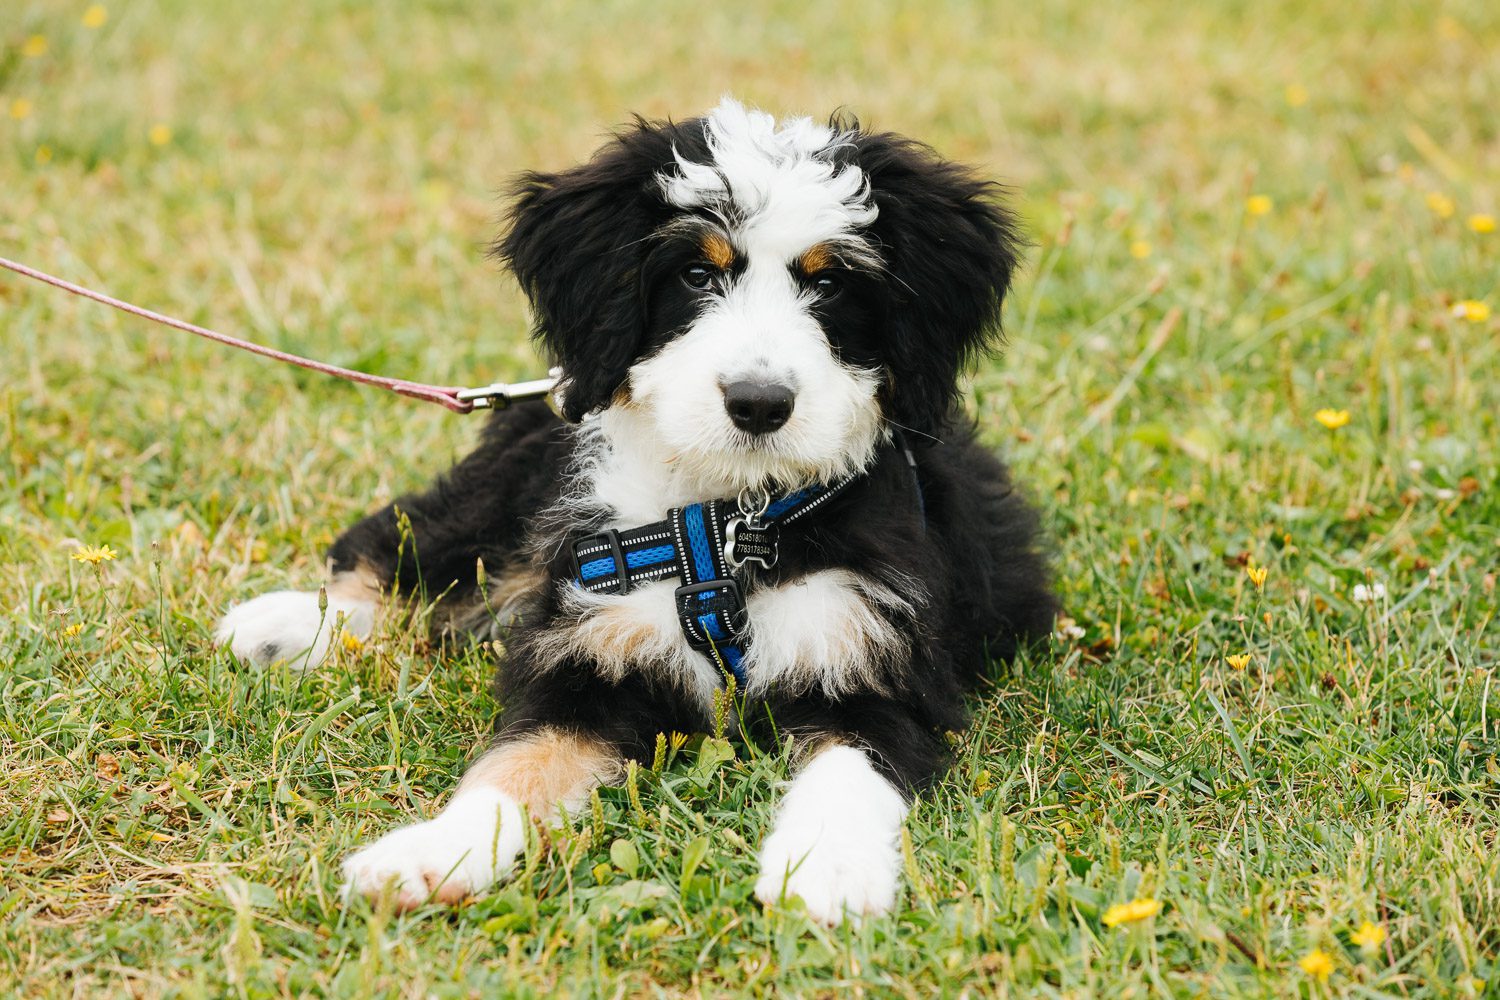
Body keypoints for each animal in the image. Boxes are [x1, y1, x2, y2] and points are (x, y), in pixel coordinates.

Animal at [214, 99, 1056, 923]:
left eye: (831, 285)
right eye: (696, 273)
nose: (759, 403)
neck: (726, 529)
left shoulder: (875, 664)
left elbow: (851, 772)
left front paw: (830, 871)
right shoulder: (592, 657)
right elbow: (517, 764)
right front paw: (433, 852)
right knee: (409, 547)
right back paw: (287, 624)